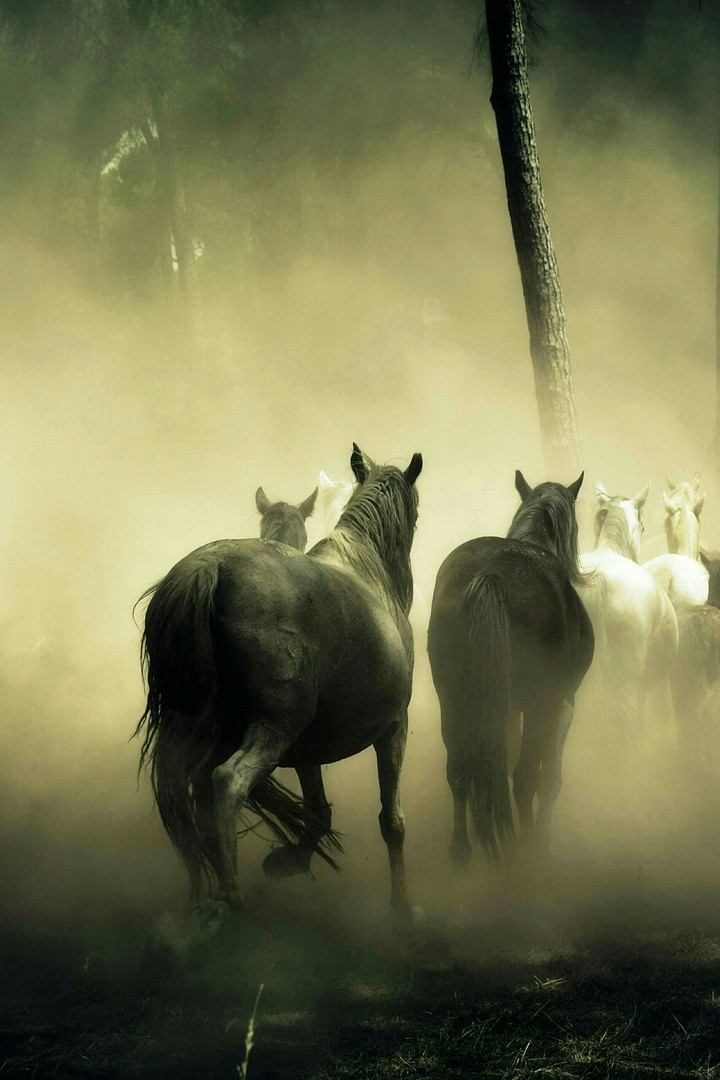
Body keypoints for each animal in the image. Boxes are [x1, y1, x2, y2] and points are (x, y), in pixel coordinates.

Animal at [135, 444, 423, 918]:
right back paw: (229, 893)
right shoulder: (393, 727)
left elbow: (318, 811)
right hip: (274, 729)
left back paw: (201, 894)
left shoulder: (309, 746)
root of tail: (209, 568)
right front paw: (404, 909)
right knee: (226, 781)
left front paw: (287, 861)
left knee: (185, 797)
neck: (368, 570)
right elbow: (392, 822)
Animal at [427, 470, 593, 864]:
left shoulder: (504, 708)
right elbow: (549, 779)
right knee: (525, 778)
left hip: (453, 700)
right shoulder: (562, 703)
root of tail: (493, 573)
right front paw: (543, 836)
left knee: (459, 769)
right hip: (538, 704)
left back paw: (461, 849)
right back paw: (527, 850)